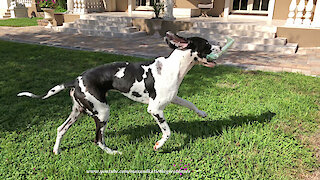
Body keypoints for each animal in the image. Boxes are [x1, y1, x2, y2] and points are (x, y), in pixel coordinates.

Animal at [17, 31, 222, 155]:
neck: (173, 67)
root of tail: (75, 80)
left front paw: (202, 113)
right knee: (98, 140)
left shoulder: (172, 98)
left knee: (61, 129)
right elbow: (168, 132)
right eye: (207, 44)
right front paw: (158, 145)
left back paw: (56, 150)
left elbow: (190, 104)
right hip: (102, 113)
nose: (220, 47)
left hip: (78, 112)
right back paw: (113, 152)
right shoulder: (155, 110)